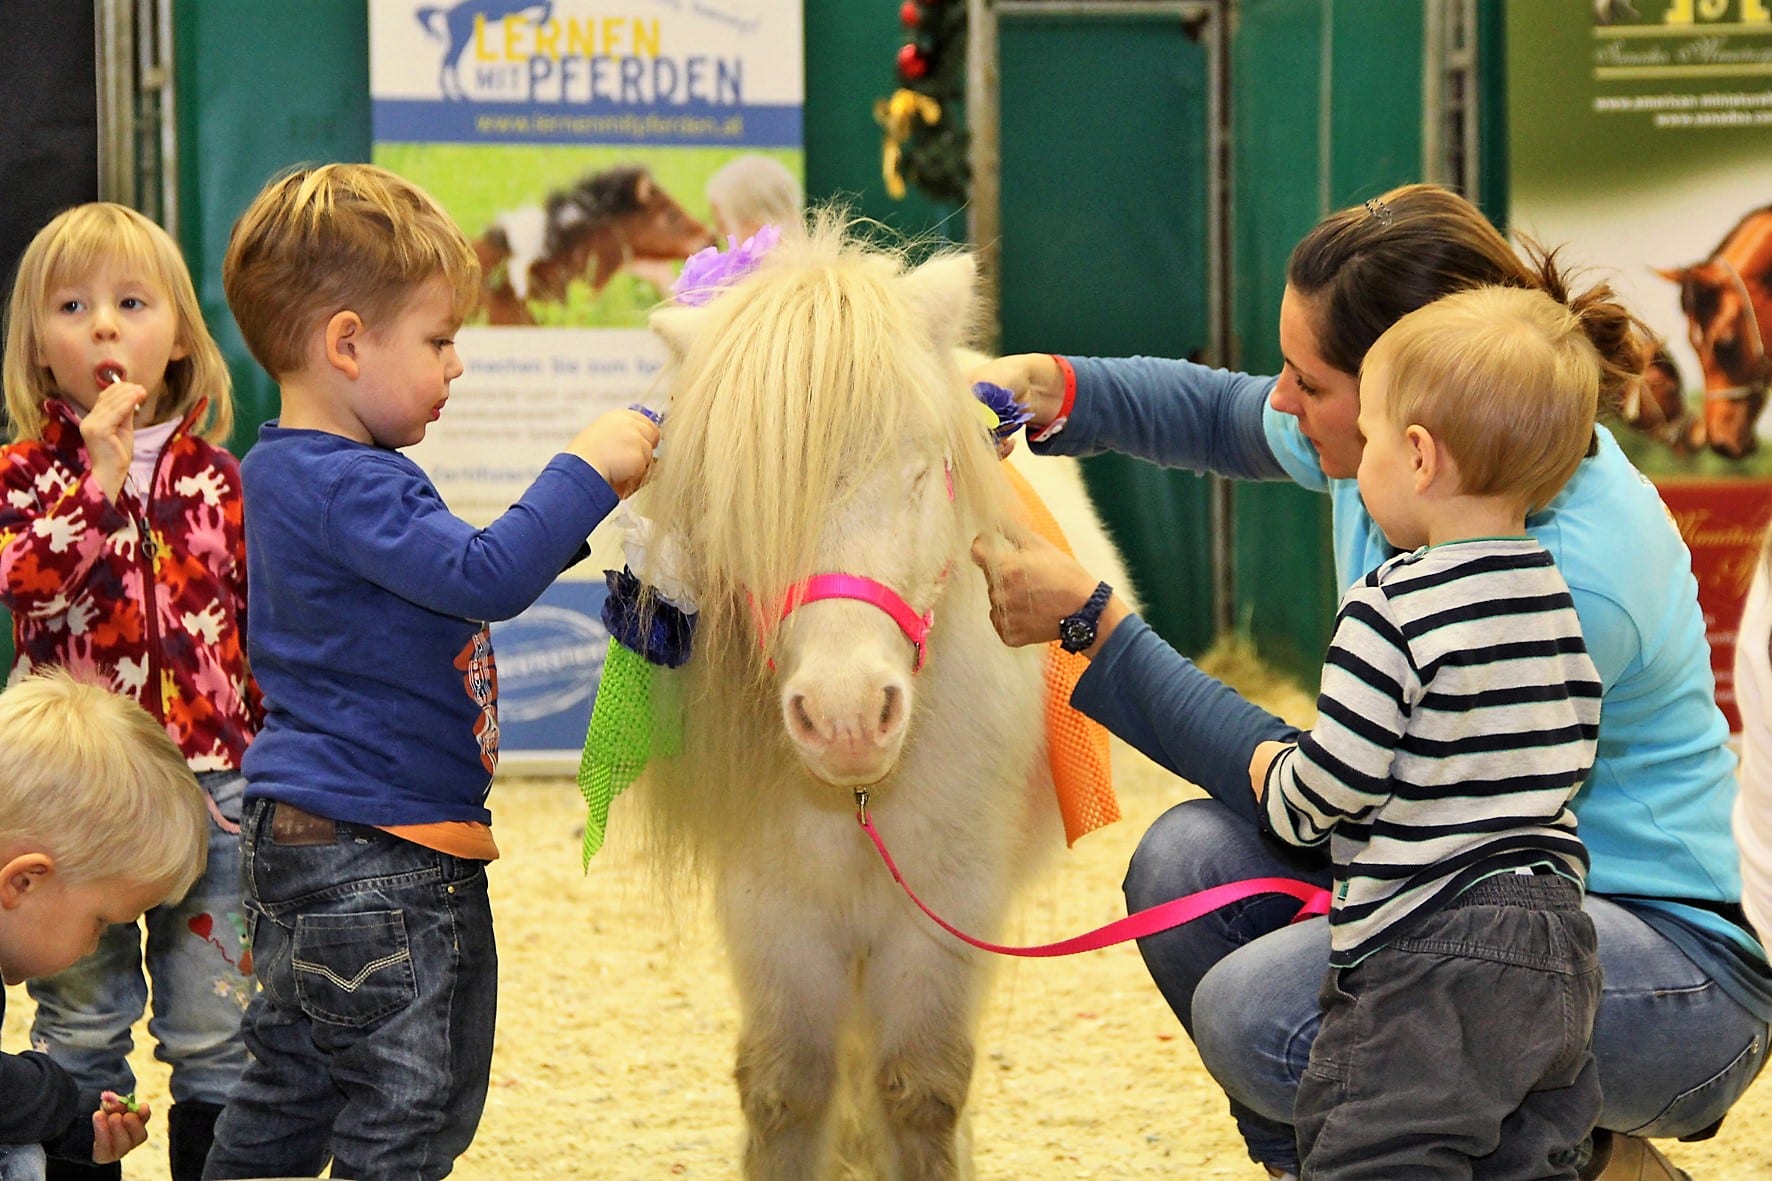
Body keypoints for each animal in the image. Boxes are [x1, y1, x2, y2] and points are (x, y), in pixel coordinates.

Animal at [630, 213, 1056, 1177]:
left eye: (924, 468)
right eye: (743, 501)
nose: (848, 715)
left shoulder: (951, 910)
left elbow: (924, 1087)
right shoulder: (773, 914)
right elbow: (786, 1087)